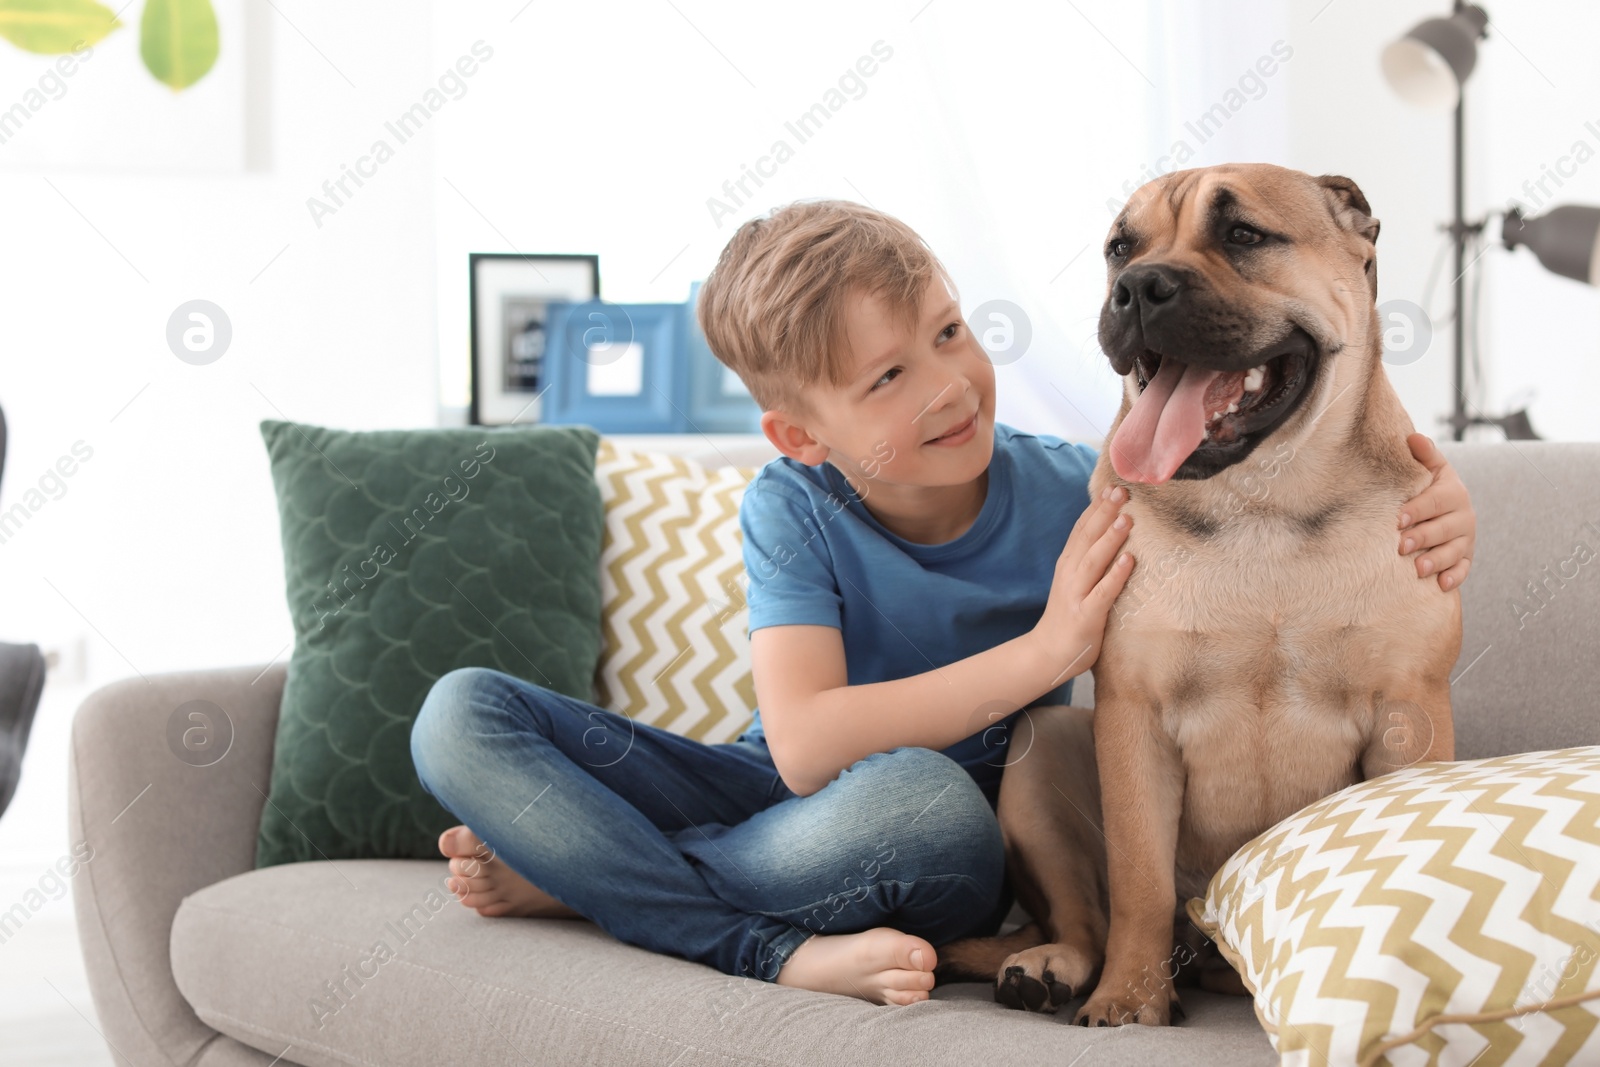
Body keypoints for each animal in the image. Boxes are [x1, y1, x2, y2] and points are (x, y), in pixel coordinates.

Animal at [934, 164, 1465, 1023]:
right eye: (1120, 248)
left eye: (1243, 234)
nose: (1138, 288)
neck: (1265, 505)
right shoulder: (1135, 713)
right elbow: (1140, 879)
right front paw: (1128, 998)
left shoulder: (1407, 710)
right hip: (1040, 756)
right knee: (1084, 916)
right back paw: (1050, 967)